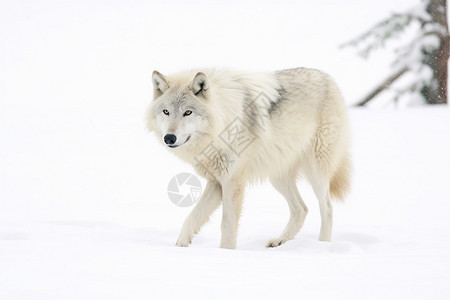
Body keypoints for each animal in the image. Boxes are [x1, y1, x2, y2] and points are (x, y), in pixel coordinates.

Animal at [148, 68, 352, 248]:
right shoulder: (216, 182)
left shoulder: (232, 182)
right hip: (277, 176)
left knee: (327, 207)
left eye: (188, 112)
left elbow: (227, 226)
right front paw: (180, 247)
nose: (169, 138)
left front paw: (226, 251)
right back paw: (280, 241)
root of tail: (329, 78)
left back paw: (323, 245)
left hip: (316, 171)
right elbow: (191, 218)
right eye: (166, 112)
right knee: (301, 209)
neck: (222, 123)